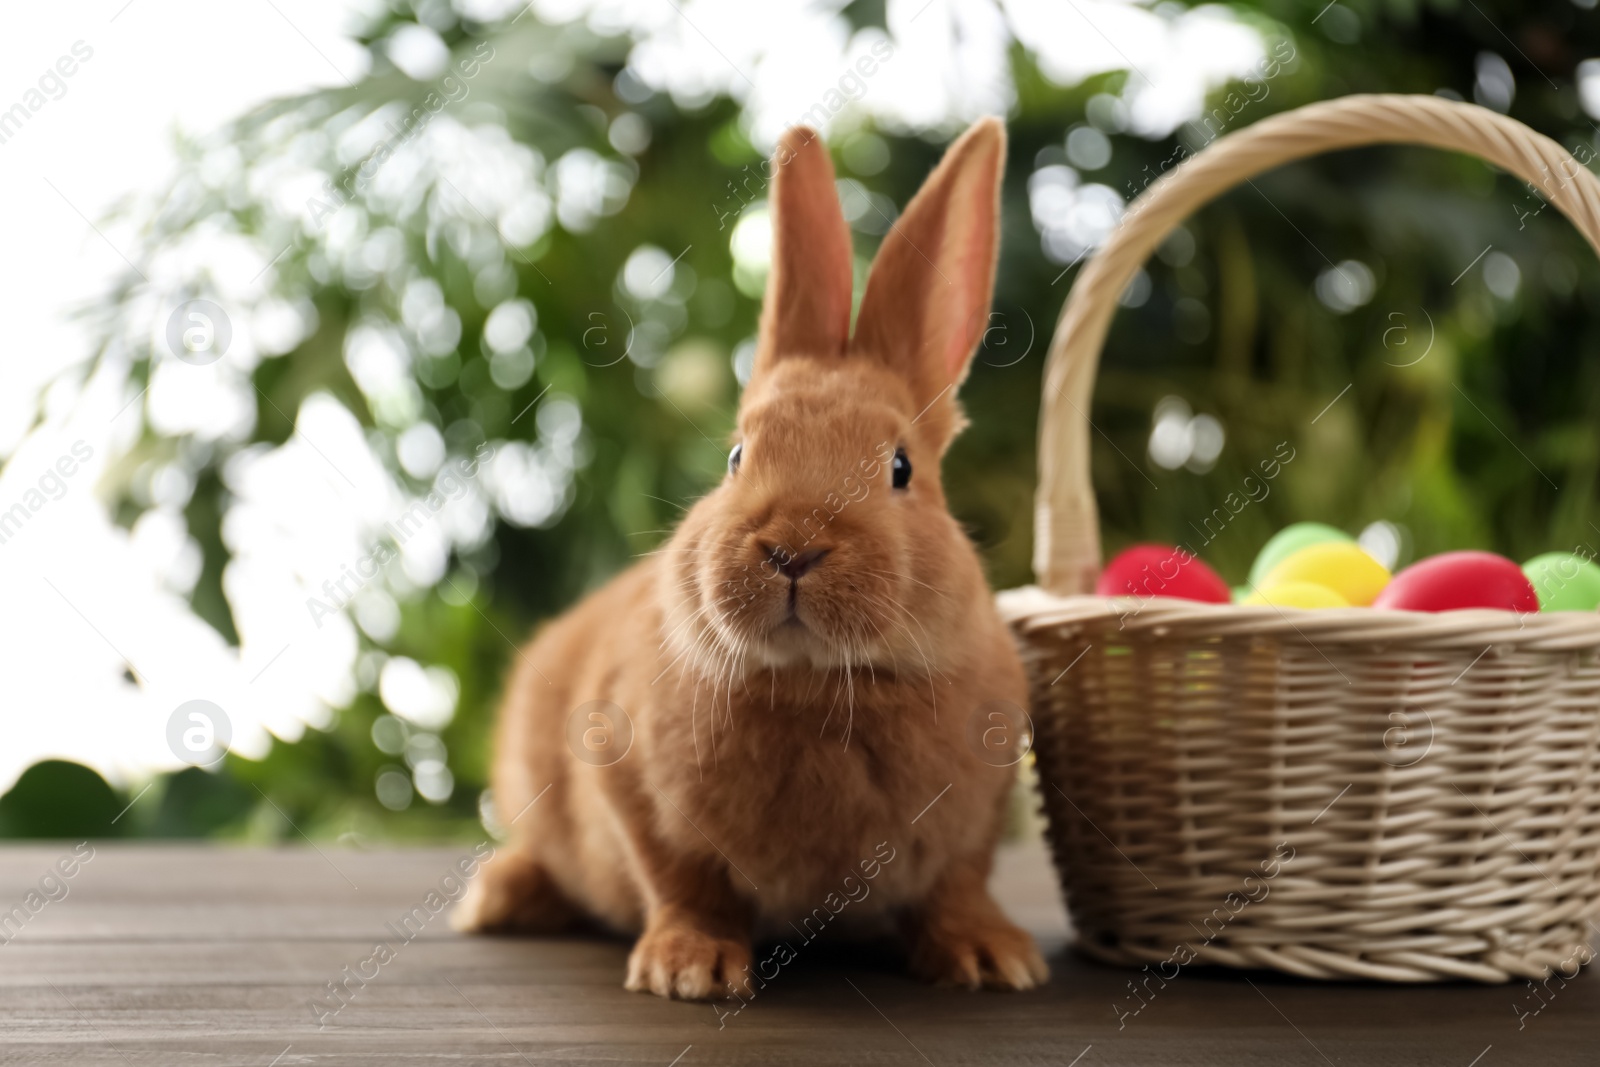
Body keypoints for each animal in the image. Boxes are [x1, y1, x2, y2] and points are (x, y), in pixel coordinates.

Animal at [457, 119, 1043, 1004]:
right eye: (737, 456)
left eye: (901, 468)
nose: (792, 547)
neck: (817, 683)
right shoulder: (632, 787)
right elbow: (681, 882)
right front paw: (689, 968)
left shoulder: (976, 816)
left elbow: (958, 887)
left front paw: (992, 957)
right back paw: (493, 900)